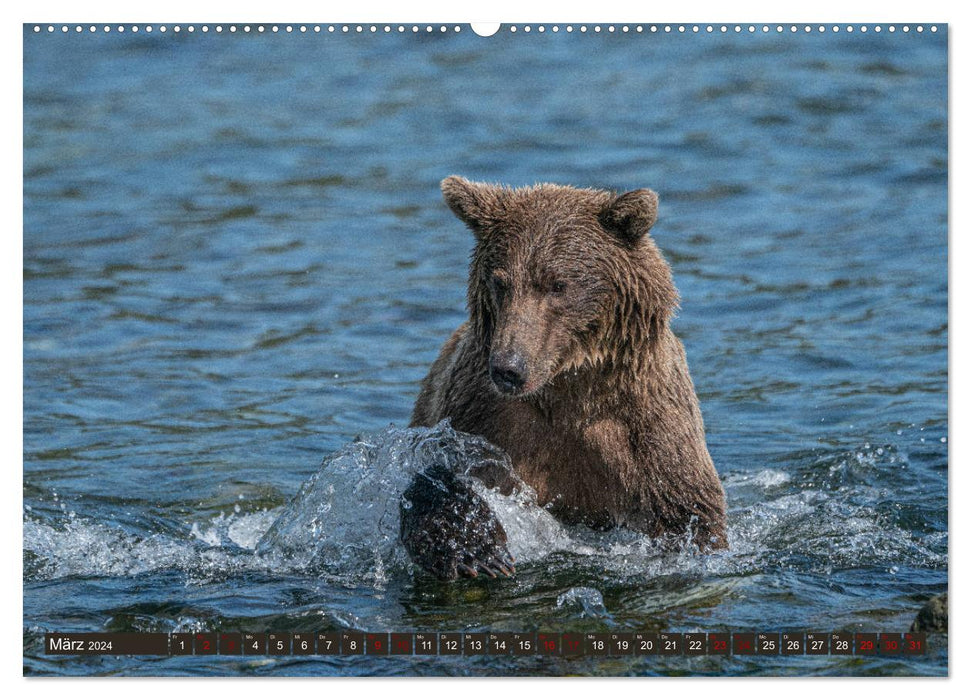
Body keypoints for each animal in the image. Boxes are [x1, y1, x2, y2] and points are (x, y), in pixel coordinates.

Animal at [402, 178, 728, 584]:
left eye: (558, 285)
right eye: (500, 282)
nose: (508, 368)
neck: (568, 391)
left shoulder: (649, 425)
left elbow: (688, 509)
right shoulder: (479, 413)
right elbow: (437, 475)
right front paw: (475, 550)